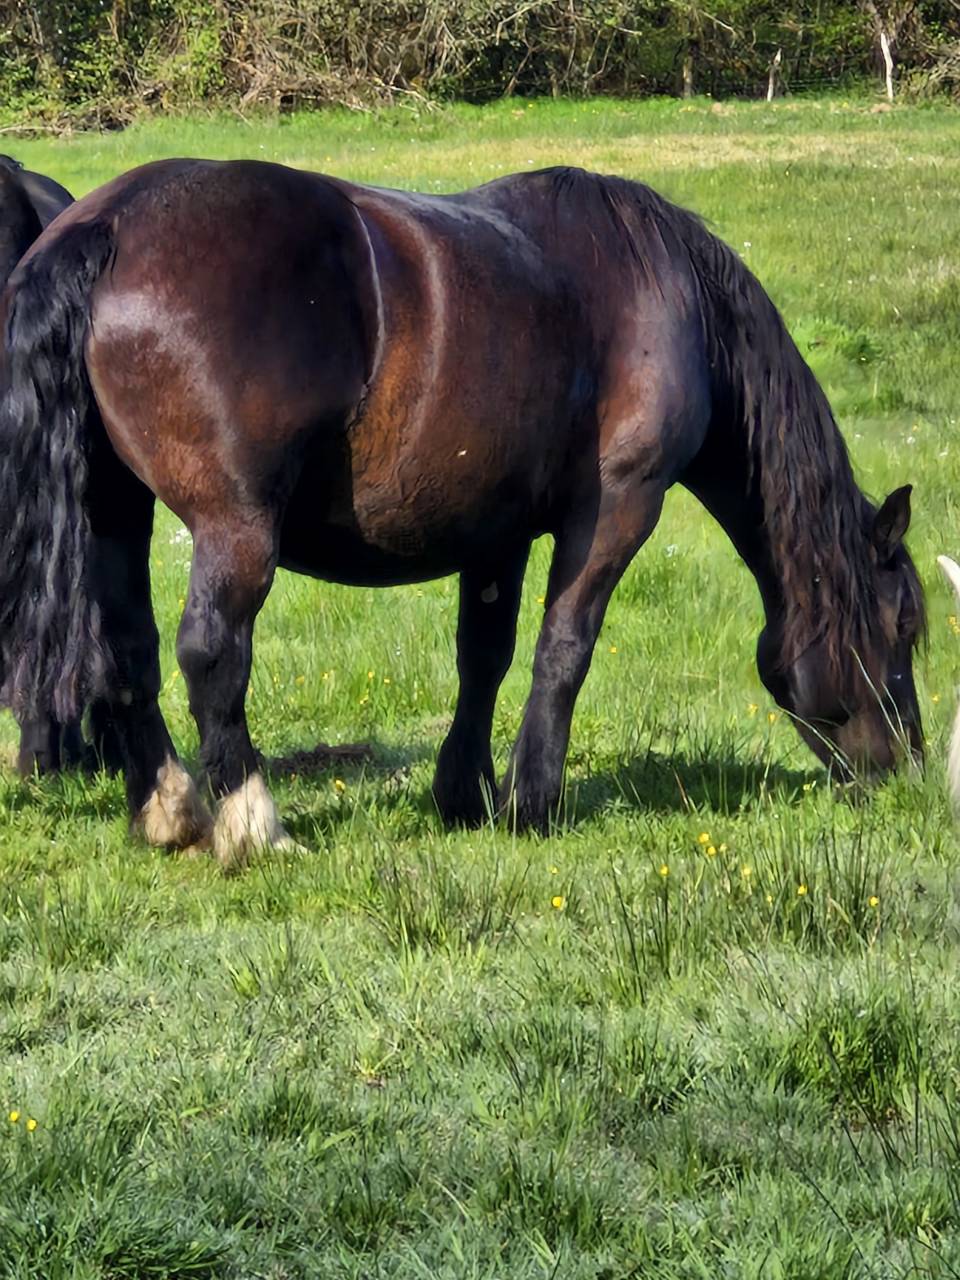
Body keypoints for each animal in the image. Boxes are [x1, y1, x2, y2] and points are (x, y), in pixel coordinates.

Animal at [0, 160, 925, 870]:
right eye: (906, 629)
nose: (909, 768)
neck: (665, 292)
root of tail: (107, 227)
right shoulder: (618, 507)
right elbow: (563, 650)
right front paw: (532, 801)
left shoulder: (496, 531)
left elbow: (484, 655)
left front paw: (466, 793)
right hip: (235, 527)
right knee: (211, 652)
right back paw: (253, 824)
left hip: (114, 510)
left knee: (129, 650)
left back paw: (167, 810)